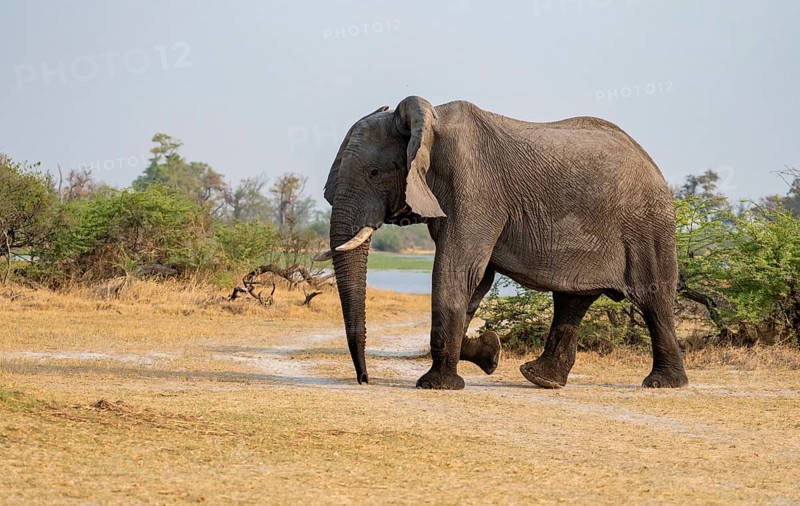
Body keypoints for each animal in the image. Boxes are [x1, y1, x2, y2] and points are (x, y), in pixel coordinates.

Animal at [320, 96, 688, 390]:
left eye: (374, 173)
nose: (364, 379)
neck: (429, 123)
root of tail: (651, 162)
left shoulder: (474, 188)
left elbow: (457, 269)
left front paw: (436, 385)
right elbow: (477, 281)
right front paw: (490, 352)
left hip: (647, 225)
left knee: (653, 299)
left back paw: (663, 384)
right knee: (572, 300)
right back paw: (541, 378)